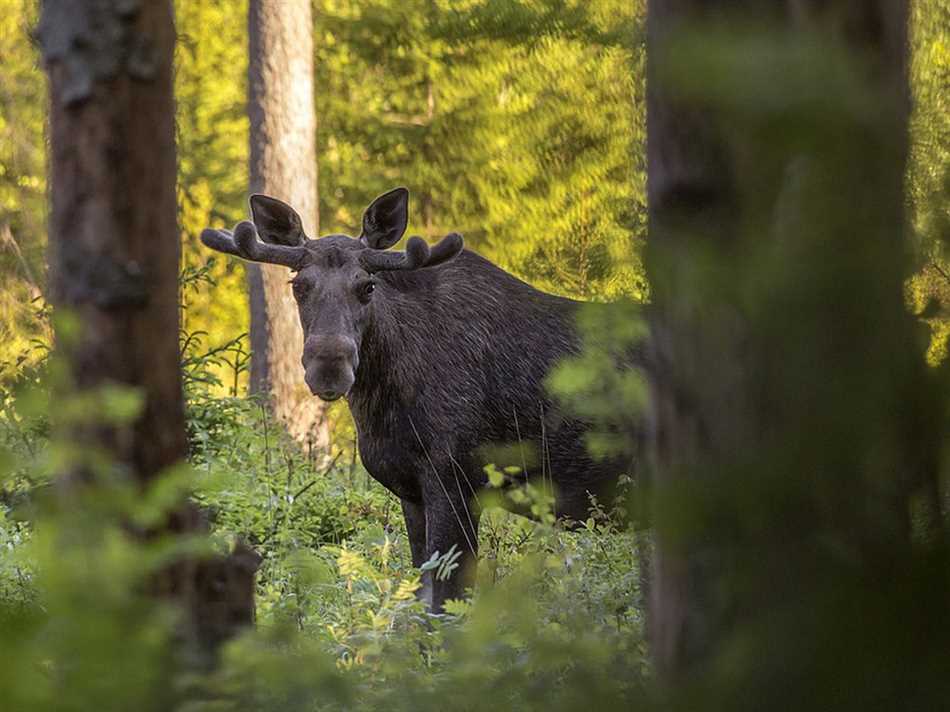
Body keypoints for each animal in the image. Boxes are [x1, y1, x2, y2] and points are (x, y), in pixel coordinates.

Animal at [201, 189, 640, 612]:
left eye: (368, 286)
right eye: (298, 285)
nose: (328, 366)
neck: (384, 405)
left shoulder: (457, 478)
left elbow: (445, 604)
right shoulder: (411, 490)